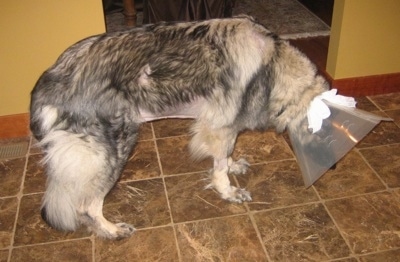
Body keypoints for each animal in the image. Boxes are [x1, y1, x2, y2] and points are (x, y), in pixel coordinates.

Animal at [30, 14, 328, 239]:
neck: (273, 65)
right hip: (115, 149)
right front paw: (228, 191)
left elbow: (226, 156)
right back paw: (111, 230)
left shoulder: (225, 126)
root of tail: (50, 77)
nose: (329, 167)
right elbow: (220, 167)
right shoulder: (220, 126)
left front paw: (233, 166)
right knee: (86, 206)